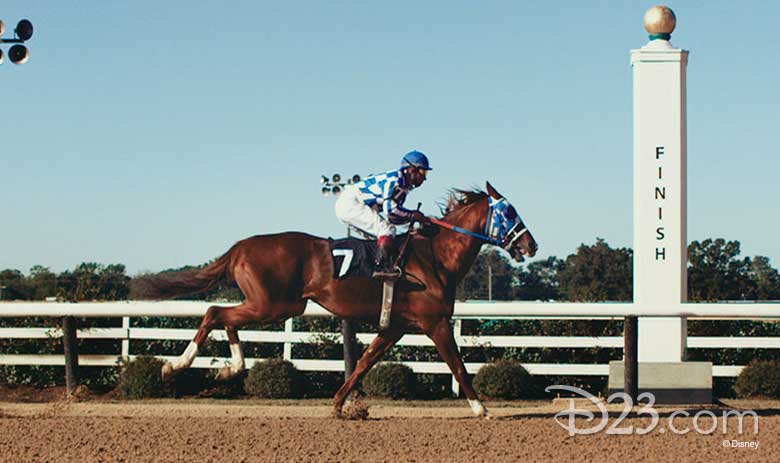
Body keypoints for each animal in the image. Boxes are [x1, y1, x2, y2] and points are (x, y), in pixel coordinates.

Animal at [134, 183, 536, 418]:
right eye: (510, 212)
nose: (531, 245)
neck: (435, 257)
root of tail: (241, 246)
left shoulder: (395, 327)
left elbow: (364, 363)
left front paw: (341, 403)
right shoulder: (435, 324)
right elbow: (458, 365)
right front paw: (481, 407)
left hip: (275, 304)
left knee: (225, 316)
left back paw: (231, 367)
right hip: (275, 304)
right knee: (215, 311)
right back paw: (176, 366)